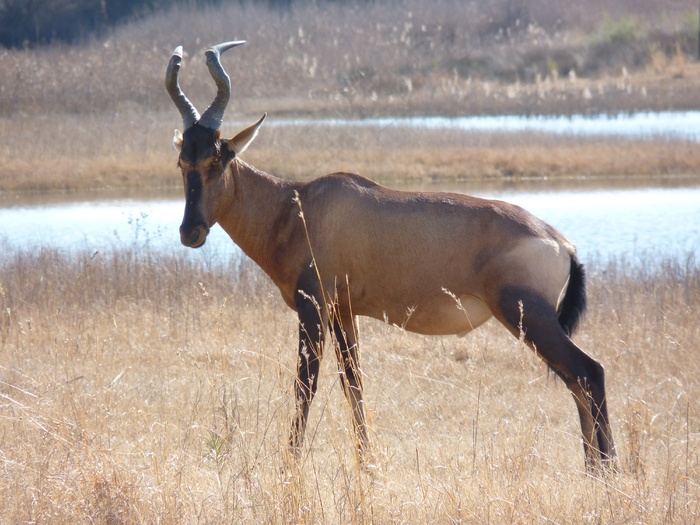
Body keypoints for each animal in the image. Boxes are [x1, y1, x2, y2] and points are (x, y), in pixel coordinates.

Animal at [165, 41, 616, 470]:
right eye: (182, 161)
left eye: (217, 159)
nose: (190, 232)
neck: (299, 206)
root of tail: (563, 244)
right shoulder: (343, 312)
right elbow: (354, 385)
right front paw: (368, 465)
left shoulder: (314, 307)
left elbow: (305, 385)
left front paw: (289, 466)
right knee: (576, 382)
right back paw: (592, 472)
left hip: (528, 316)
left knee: (588, 373)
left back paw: (607, 474)